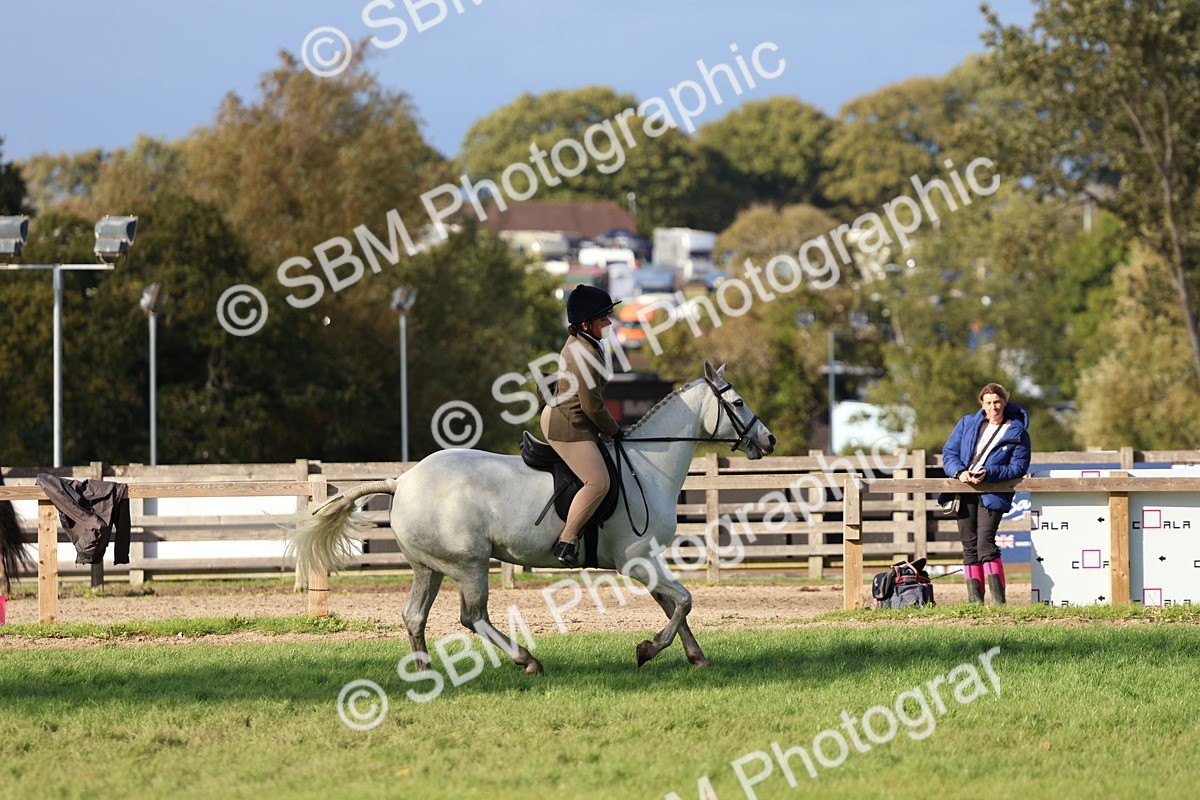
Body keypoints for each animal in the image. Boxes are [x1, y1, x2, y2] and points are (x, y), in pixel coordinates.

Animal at [287, 361, 775, 672]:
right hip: (469, 564)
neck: (647, 465)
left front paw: (695, 657)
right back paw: (527, 660)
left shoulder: (648, 559)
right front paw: (648, 650)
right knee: (473, 617)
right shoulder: (636, 559)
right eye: (738, 402)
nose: (767, 440)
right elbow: (685, 601)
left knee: (414, 616)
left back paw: (425, 670)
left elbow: (675, 604)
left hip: (430, 567)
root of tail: (403, 481)